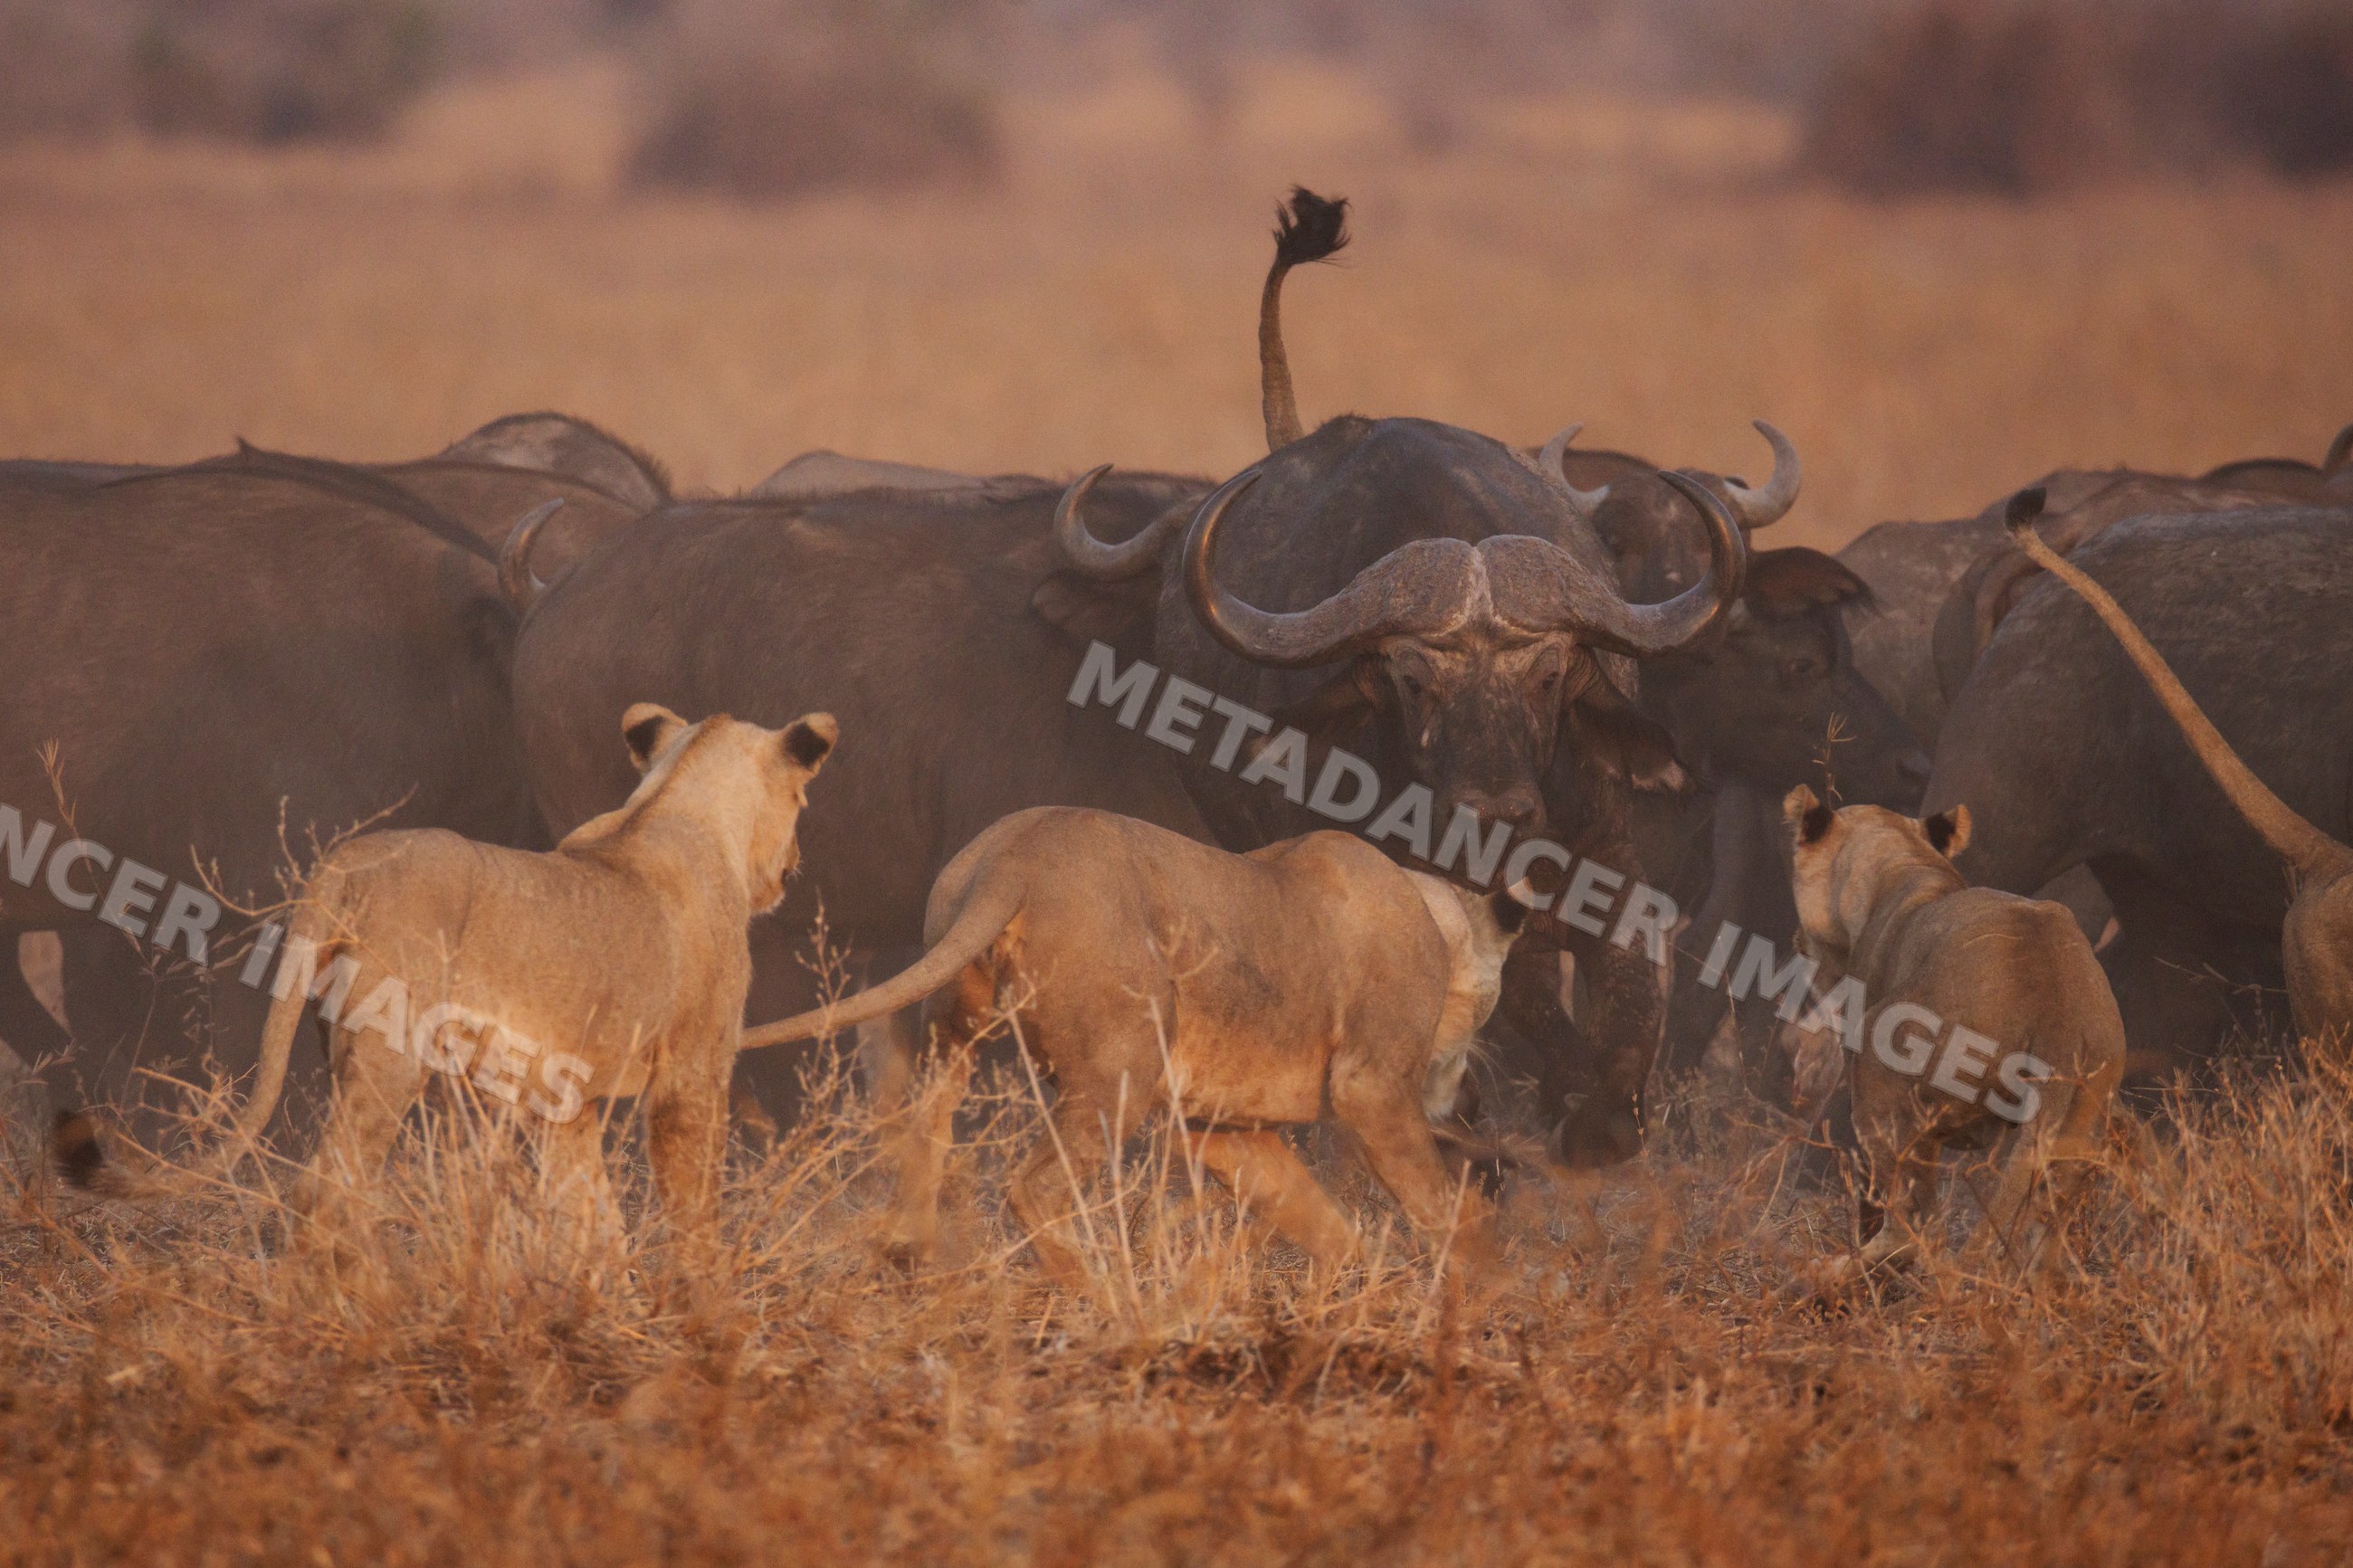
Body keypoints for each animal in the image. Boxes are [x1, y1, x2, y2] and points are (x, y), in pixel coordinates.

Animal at [57, 702, 835, 1240]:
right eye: (802, 800)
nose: (795, 866)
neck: (676, 802)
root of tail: (346, 857)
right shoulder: (692, 1076)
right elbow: (692, 1210)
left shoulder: (564, 1100)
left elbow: (592, 1221)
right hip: (390, 1053)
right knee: (326, 1190)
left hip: (341, 1044)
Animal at [741, 806, 1529, 1285]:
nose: (1471, 1086)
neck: (1439, 915)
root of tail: (1015, 857)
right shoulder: (1373, 1089)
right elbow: (1448, 1212)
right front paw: (1489, 1307)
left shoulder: (1219, 1124)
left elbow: (1322, 1222)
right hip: (1123, 1064)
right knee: (1033, 1189)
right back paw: (1106, 1298)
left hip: (953, 1034)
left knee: (923, 1140)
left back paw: (913, 1258)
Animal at [1782, 786, 2124, 1285]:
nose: (1796, 941)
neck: (1903, 863)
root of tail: (2058, 1007)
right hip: (2081, 1130)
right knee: (2045, 1253)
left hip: (1879, 1070)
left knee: (1912, 1229)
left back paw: (1833, 1272)